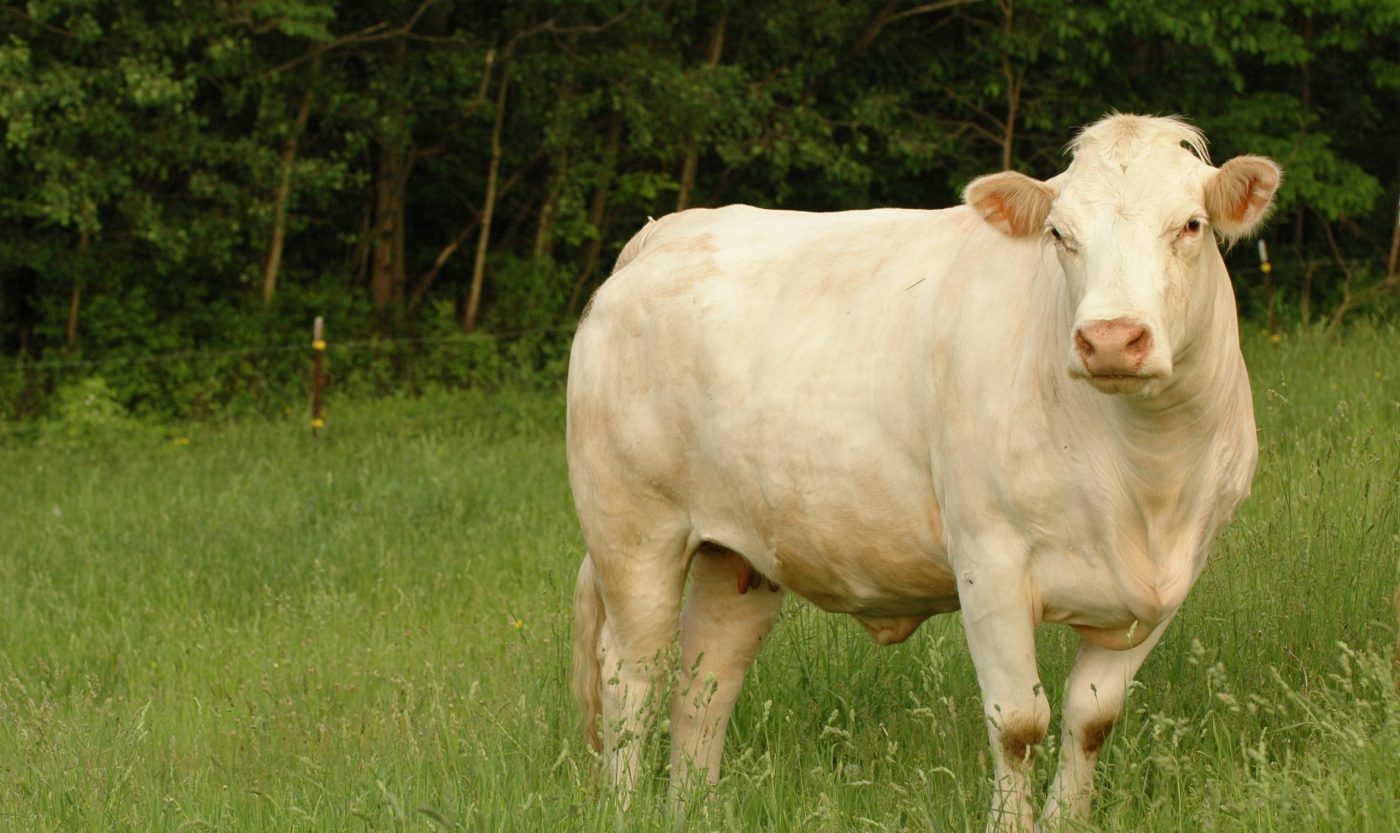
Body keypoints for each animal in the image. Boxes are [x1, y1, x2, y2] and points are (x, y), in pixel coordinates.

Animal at [567, 114, 1280, 830]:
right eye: (1059, 234)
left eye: (1191, 224)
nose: (1109, 340)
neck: (1147, 480)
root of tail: (668, 229)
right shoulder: (989, 560)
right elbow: (1019, 722)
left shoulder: (1172, 580)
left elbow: (1093, 718)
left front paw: (1066, 818)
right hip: (635, 534)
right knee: (633, 678)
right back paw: (626, 808)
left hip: (737, 553)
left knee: (706, 681)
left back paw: (693, 808)